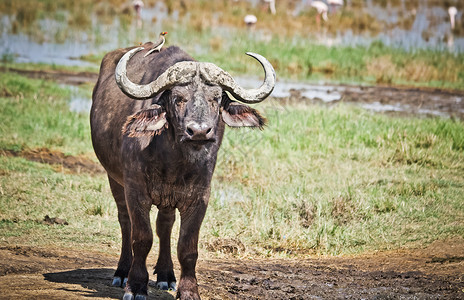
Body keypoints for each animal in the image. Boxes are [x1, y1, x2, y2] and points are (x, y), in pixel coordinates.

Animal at [91, 42, 276, 300]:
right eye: (178, 98)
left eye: (216, 98)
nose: (198, 131)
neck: (173, 162)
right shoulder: (135, 191)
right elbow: (142, 238)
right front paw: (136, 286)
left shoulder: (199, 197)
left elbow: (187, 248)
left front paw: (188, 290)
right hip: (114, 179)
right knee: (125, 222)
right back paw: (122, 272)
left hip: (167, 199)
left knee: (165, 226)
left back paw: (166, 274)